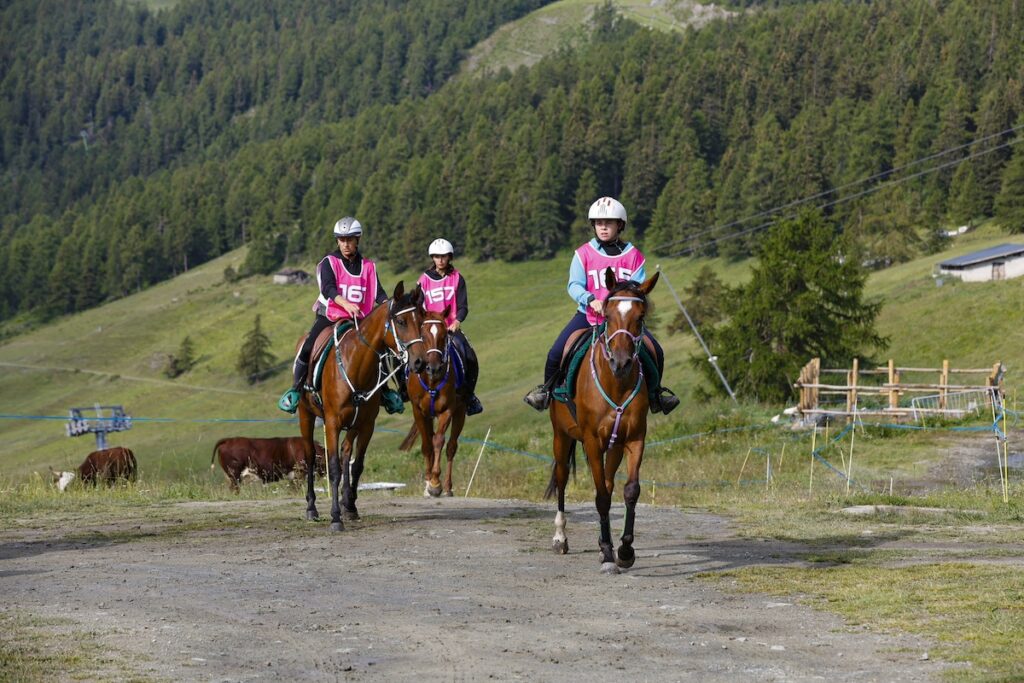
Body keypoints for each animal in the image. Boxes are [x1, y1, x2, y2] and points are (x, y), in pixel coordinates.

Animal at [296, 280, 428, 532]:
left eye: (422, 320)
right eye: (401, 321)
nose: (419, 362)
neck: (355, 364)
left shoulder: (367, 424)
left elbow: (356, 465)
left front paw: (350, 507)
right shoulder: (332, 422)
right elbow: (334, 467)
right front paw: (335, 517)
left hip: (353, 423)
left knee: (347, 453)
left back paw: (347, 502)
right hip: (306, 415)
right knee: (309, 457)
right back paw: (311, 508)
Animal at [399, 309, 468, 497]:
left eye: (444, 335)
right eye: (422, 335)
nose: (433, 367)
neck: (431, 381)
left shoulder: (447, 410)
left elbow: (438, 441)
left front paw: (436, 483)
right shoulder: (419, 412)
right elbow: (427, 445)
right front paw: (429, 482)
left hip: (460, 411)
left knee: (451, 446)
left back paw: (448, 487)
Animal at [548, 270, 659, 573]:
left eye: (640, 317)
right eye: (607, 315)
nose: (620, 362)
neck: (616, 383)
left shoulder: (634, 438)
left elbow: (629, 491)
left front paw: (625, 550)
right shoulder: (592, 441)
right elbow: (600, 497)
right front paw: (609, 554)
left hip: (615, 445)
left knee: (608, 483)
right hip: (561, 437)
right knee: (562, 478)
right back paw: (560, 538)